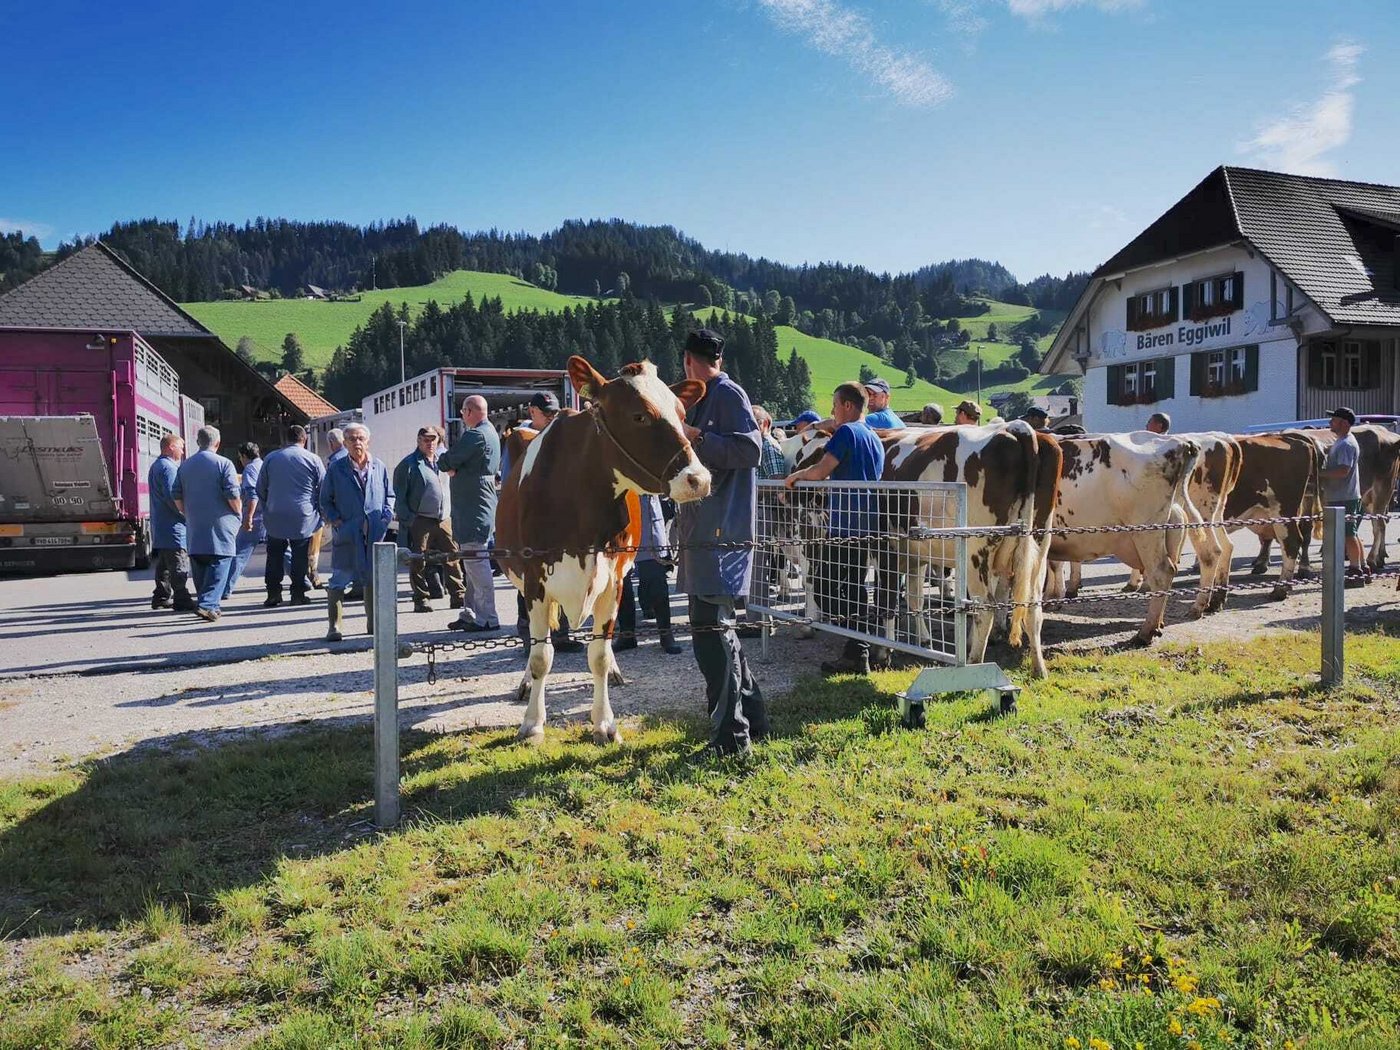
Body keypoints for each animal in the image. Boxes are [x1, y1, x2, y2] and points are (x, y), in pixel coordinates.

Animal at [495, 357, 710, 745]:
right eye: (639, 416)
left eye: (682, 412)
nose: (698, 479)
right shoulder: (535, 581)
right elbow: (540, 656)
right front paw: (532, 724)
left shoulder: (613, 581)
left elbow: (598, 654)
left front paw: (605, 723)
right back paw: (524, 684)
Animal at [1045, 433, 1203, 644]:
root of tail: (1180, 442)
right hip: (1171, 526)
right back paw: (1159, 624)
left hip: (1145, 530)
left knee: (1161, 572)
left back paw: (1145, 633)